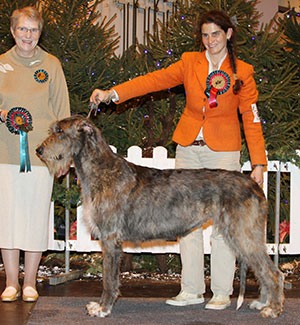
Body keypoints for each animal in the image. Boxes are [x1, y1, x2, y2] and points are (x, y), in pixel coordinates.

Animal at [35, 115, 284, 318]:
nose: (38, 150)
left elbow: (108, 279)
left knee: (273, 273)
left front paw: (103, 308)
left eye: (59, 131)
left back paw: (273, 308)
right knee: (262, 270)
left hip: (243, 234)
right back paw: (263, 303)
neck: (101, 170)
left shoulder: (110, 239)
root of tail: (255, 184)